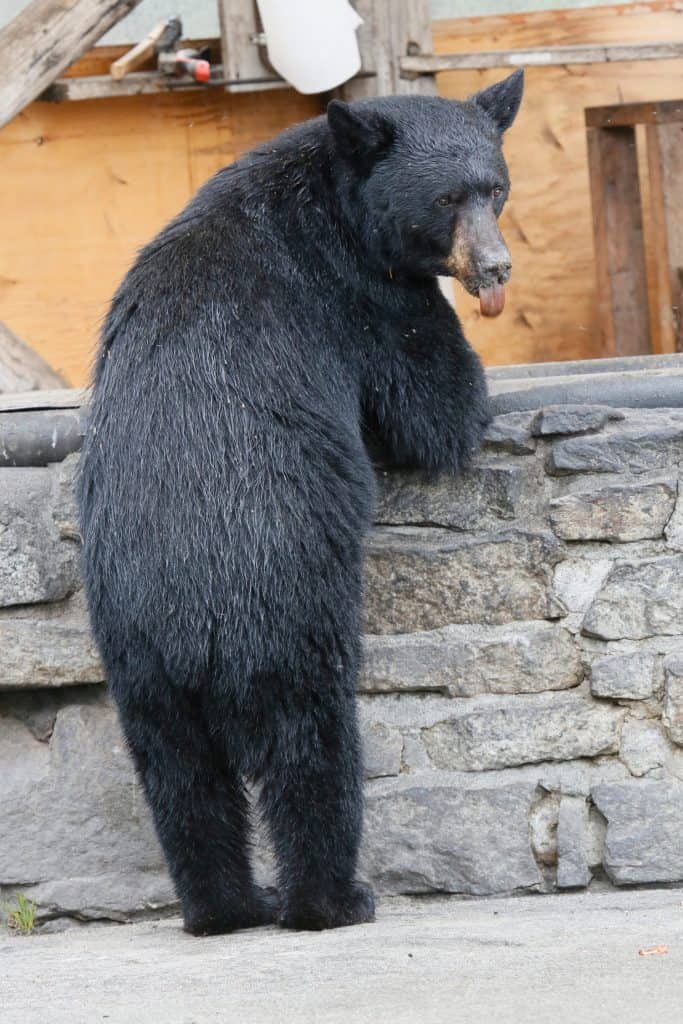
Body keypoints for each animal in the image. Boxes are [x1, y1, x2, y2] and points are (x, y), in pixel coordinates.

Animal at [78, 69, 524, 935]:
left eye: (495, 188)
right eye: (445, 199)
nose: (495, 268)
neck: (335, 197)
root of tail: (192, 628)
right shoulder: (365, 301)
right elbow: (432, 406)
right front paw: (473, 407)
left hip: (134, 660)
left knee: (181, 783)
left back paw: (222, 907)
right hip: (287, 615)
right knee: (312, 754)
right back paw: (333, 899)